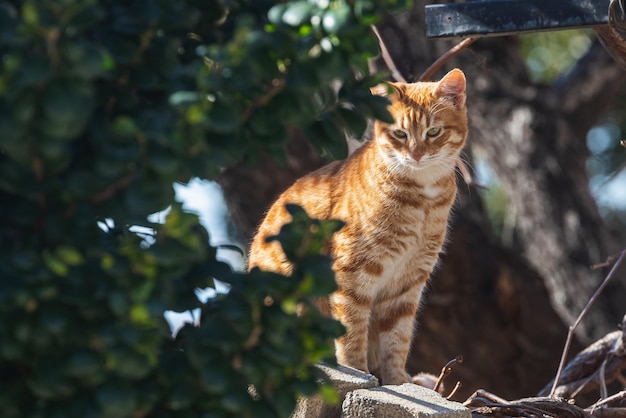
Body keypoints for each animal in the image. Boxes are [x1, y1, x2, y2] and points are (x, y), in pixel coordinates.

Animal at [246, 68, 466, 386]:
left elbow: (398, 338)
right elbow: (351, 327)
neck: (423, 196)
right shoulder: (354, 270)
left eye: (433, 132)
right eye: (400, 134)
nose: (416, 155)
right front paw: (357, 371)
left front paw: (396, 380)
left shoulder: (409, 281)